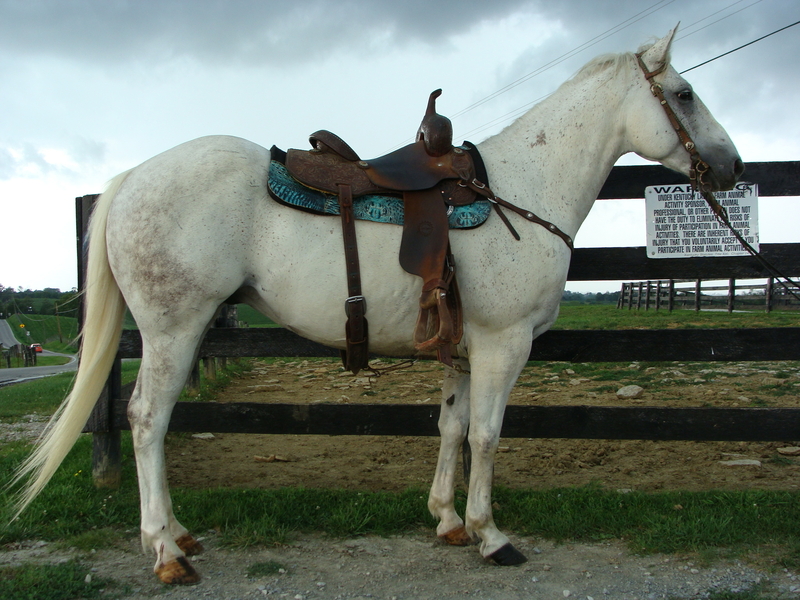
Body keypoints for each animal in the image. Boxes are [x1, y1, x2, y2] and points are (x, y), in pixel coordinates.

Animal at [13, 26, 743, 583]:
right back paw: (166, 551)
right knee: (146, 421)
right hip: (174, 330)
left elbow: (451, 427)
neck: (523, 188)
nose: (732, 166)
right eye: (683, 94)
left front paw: (448, 521)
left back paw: (180, 535)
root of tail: (135, 176)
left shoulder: (463, 349)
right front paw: (491, 535)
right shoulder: (504, 344)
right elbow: (486, 434)